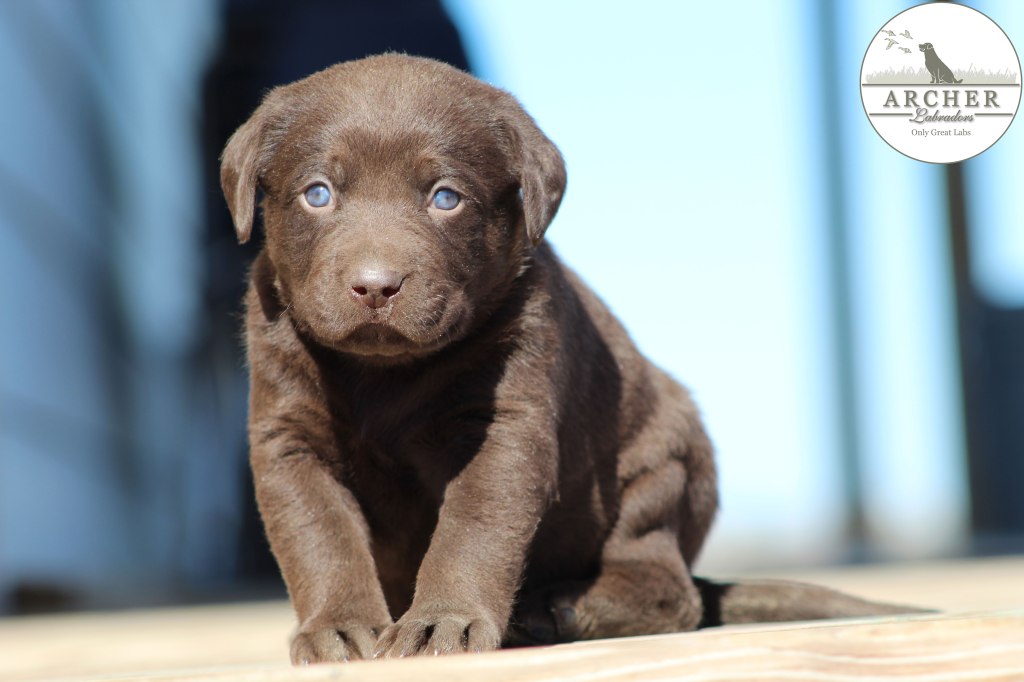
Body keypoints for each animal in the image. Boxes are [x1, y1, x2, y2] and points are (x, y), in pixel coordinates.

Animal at [220, 54, 920, 664]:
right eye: (318, 193)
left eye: (445, 198)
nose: (375, 286)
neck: (382, 374)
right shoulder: (289, 441)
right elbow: (319, 538)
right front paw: (337, 629)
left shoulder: (504, 426)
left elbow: (474, 527)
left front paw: (442, 622)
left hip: (664, 470)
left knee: (669, 589)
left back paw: (554, 609)